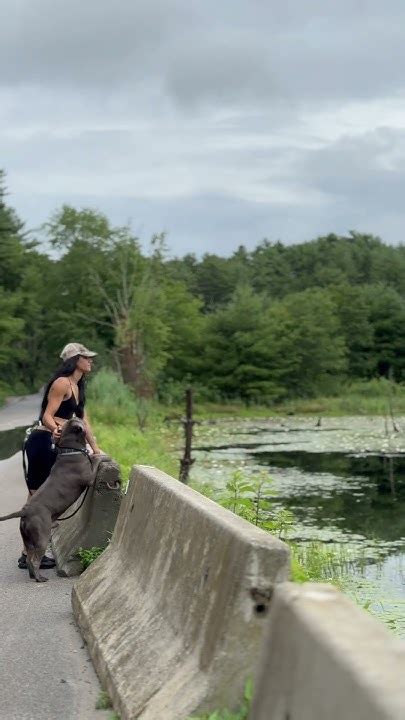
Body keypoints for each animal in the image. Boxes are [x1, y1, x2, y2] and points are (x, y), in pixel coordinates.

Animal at [0, 416, 112, 580]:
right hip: (41, 536)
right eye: (77, 420)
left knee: (29, 557)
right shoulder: (89, 477)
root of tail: (24, 511)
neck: (70, 450)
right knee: (34, 559)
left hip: (27, 538)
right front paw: (103, 456)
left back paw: (33, 575)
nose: (79, 416)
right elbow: (96, 460)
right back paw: (40, 578)